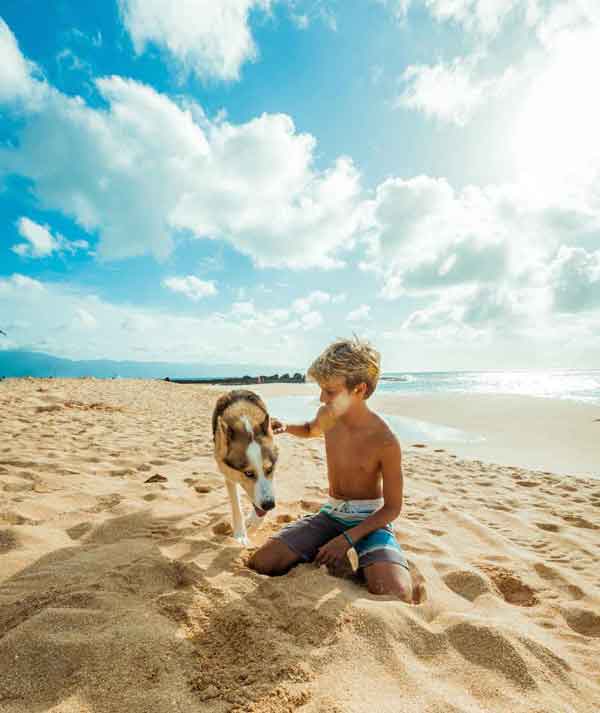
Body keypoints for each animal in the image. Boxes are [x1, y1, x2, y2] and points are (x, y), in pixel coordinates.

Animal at [211, 390, 278, 544]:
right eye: (248, 473)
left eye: (269, 469)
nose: (269, 505)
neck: (246, 423)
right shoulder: (228, 475)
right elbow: (236, 506)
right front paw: (241, 534)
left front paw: (253, 525)